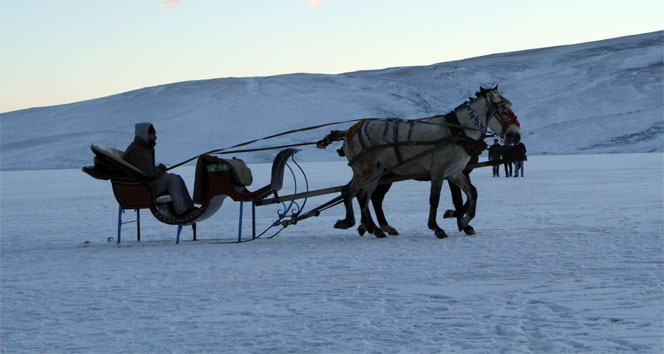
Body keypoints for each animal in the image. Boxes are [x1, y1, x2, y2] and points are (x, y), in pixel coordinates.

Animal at [338, 86, 520, 238]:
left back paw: (374, 228)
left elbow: (472, 192)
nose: (516, 135)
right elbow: (435, 199)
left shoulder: (454, 172)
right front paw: (437, 227)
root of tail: (351, 131)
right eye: (503, 110)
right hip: (365, 170)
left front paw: (465, 221)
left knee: (364, 196)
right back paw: (350, 222)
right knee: (349, 192)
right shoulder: (438, 171)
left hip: (376, 172)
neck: (456, 132)